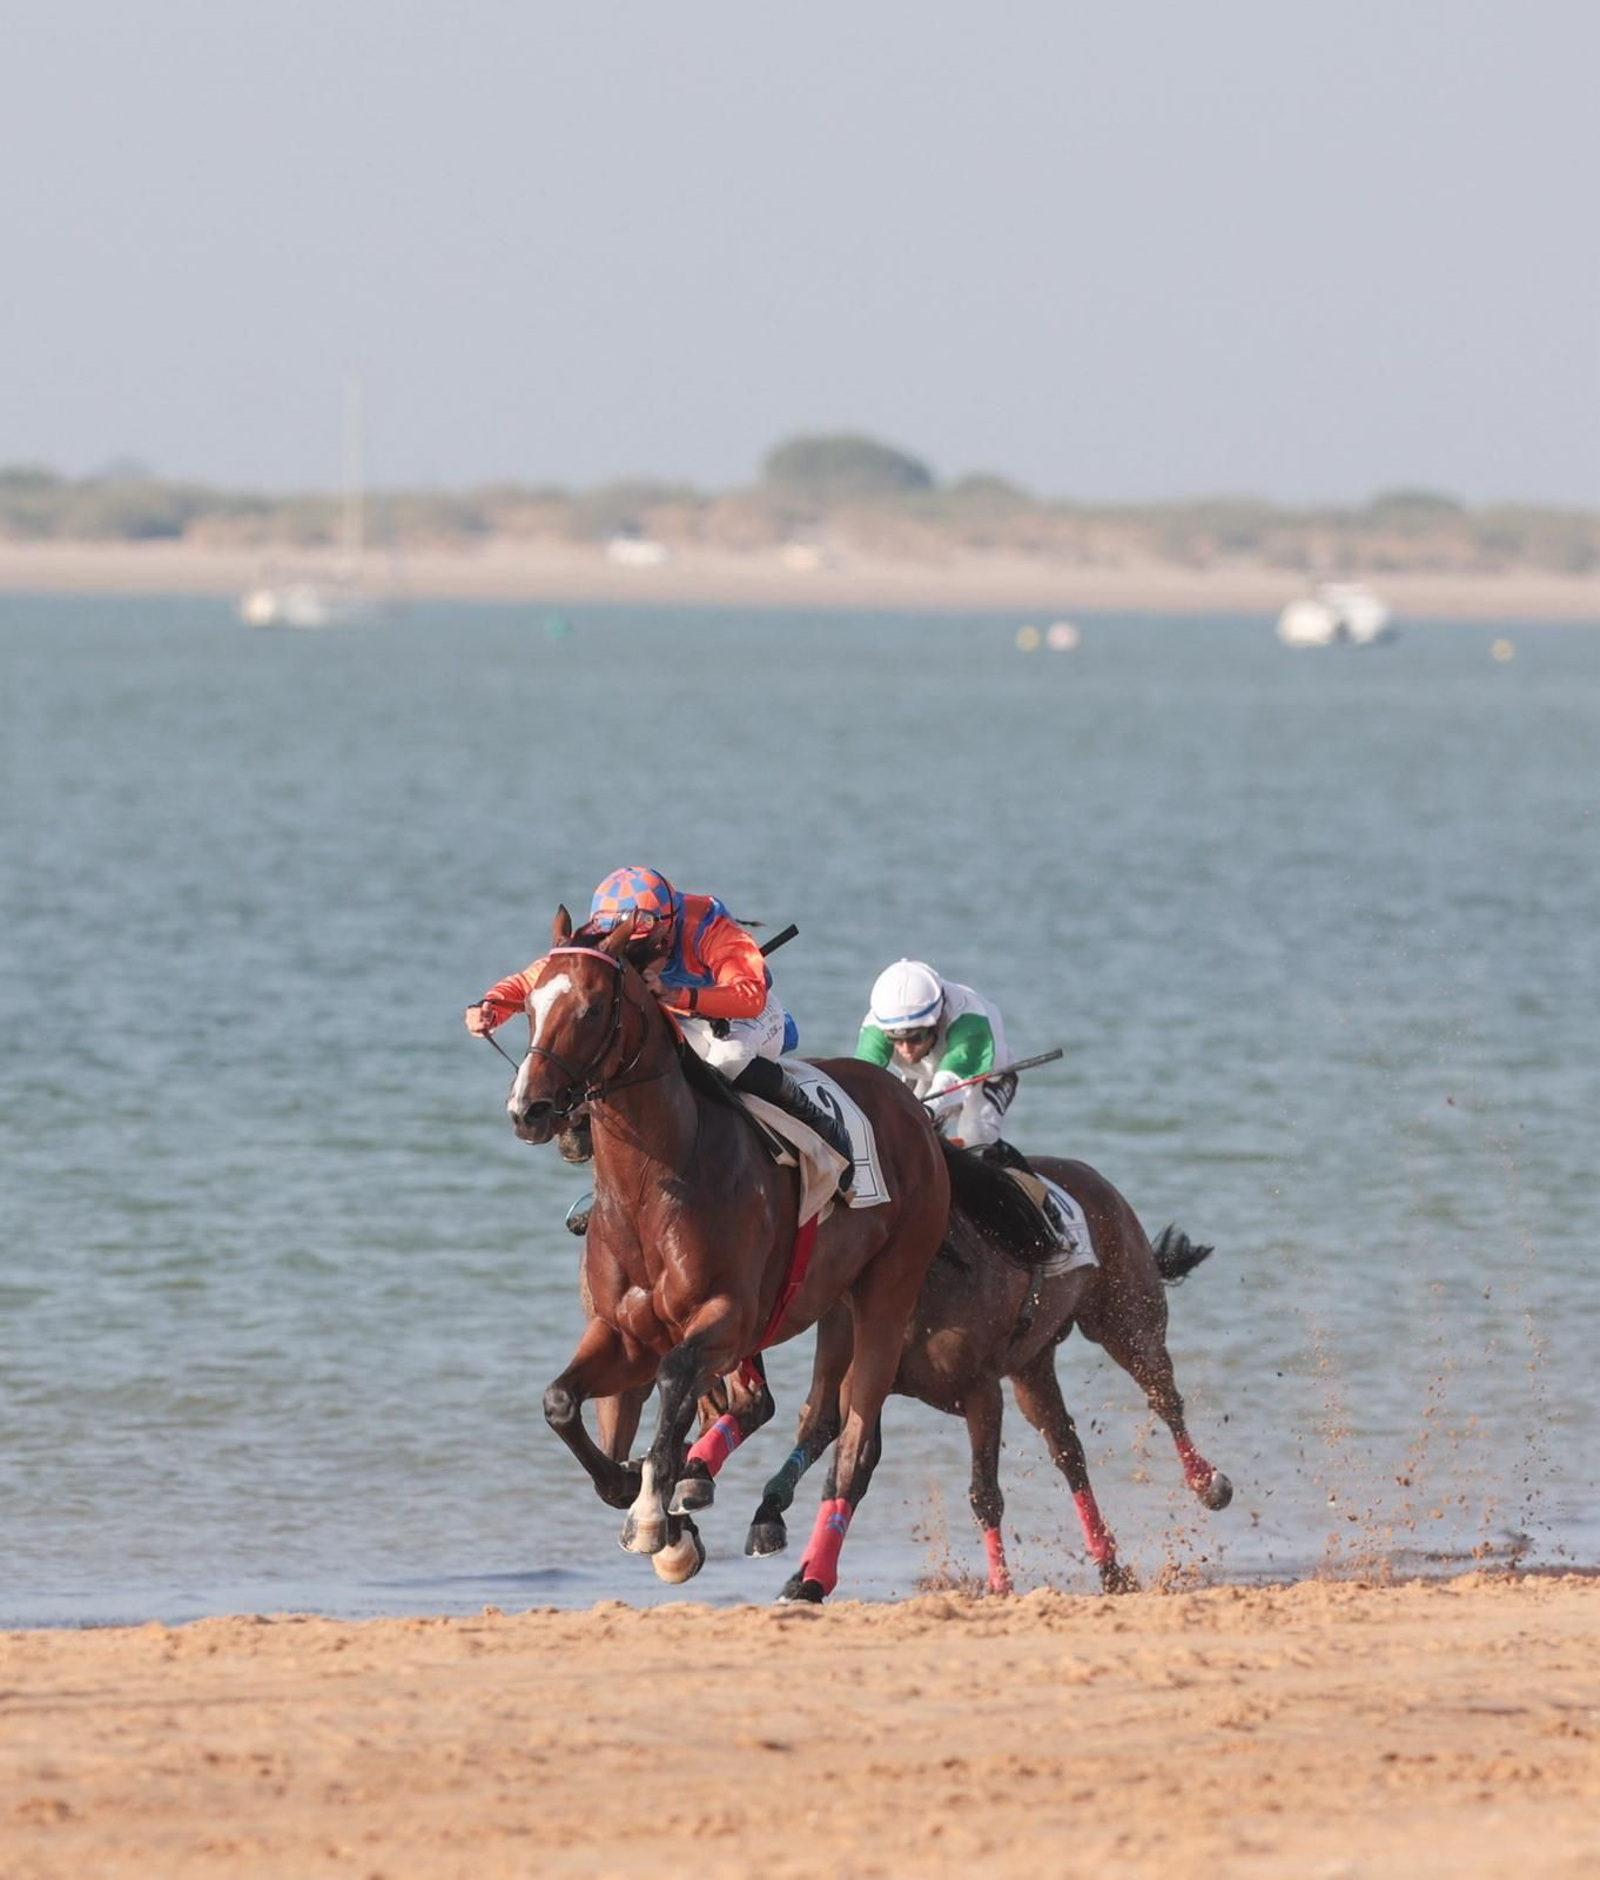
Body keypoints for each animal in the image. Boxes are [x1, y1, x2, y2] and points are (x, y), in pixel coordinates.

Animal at [505, 906, 1028, 1601]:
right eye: (529, 1005)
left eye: (591, 1007)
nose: (529, 1110)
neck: (652, 1189)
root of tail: (914, 1111)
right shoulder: (622, 1332)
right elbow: (561, 1402)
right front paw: (639, 1492)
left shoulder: (727, 1318)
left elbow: (675, 1379)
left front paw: (656, 1513)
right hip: (834, 1301)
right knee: (814, 1413)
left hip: (888, 1293)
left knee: (856, 1445)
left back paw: (808, 1576)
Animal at [741, 1154, 1233, 1594]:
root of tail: (1091, 1175)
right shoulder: (864, 1387)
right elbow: (849, 1469)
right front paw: (803, 1574)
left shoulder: (981, 1394)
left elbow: (984, 1493)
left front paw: (999, 1583)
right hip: (1033, 1370)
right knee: (1068, 1450)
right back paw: (1111, 1568)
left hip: (1127, 1320)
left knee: (1164, 1398)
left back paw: (1208, 1483)